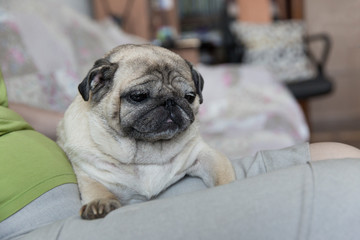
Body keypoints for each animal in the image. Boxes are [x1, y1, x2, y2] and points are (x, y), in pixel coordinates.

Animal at [57, 43, 236, 219]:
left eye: (190, 97)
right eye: (138, 96)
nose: (170, 101)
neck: (146, 153)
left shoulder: (204, 154)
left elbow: (223, 175)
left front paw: (228, 187)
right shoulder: (89, 172)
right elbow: (95, 187)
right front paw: (100, 202)